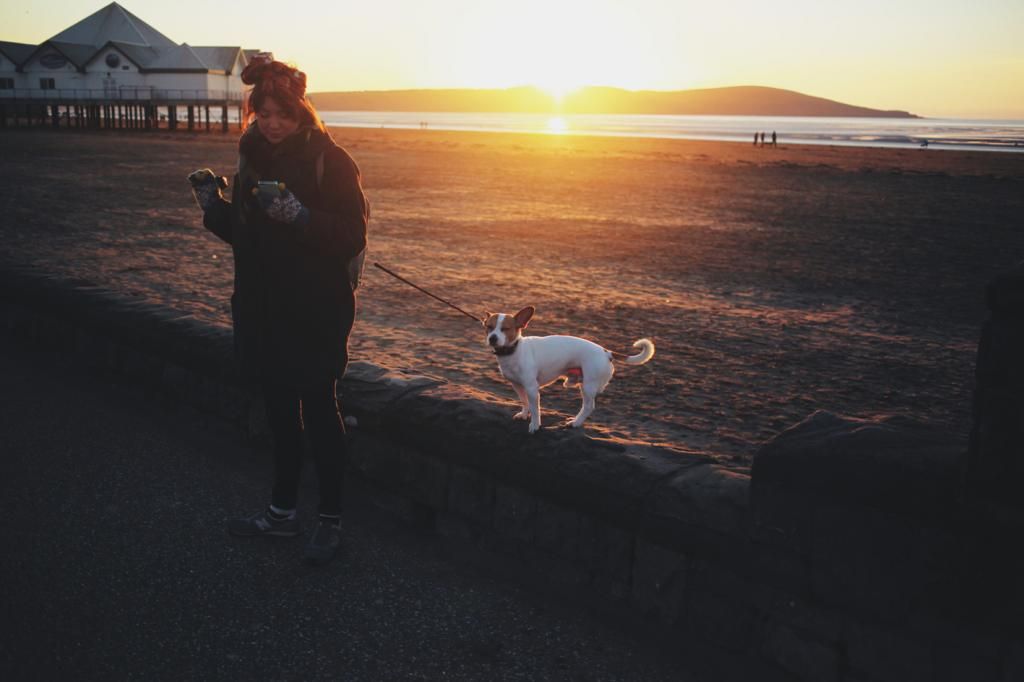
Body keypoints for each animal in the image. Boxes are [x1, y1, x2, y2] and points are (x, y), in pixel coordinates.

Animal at [481, 303, 655, 430]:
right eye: (488, 327)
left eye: (505, 329)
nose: (492, 338)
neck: (514, 350)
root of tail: (607, 352)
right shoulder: (517, 385)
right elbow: (524, 402)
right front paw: (524, 414)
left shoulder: (531, 388)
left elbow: (536, 409)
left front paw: (535, 425)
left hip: (588, 386)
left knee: (589, 406)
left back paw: (576, 423)